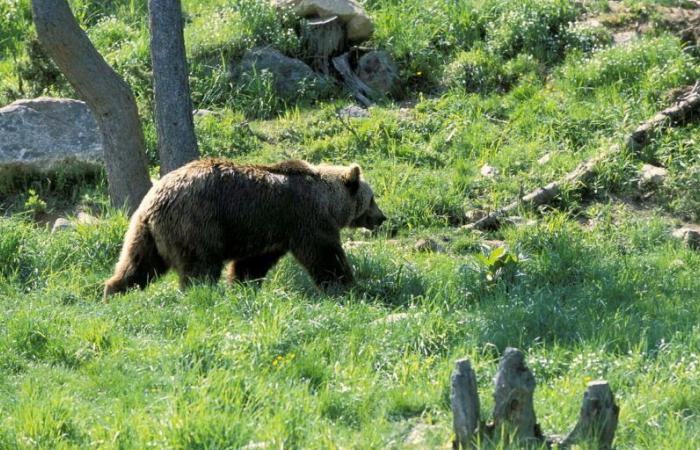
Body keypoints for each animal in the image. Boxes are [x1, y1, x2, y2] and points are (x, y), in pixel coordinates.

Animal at [103, 158, 386, 298]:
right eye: (372, 198)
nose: (382, 217)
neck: (328, 202)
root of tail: (154, 201)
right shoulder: (305, 219)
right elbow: (325, 255)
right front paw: (349, 285)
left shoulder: (273, 232)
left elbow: (253, 263)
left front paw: (242, 284)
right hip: (197, 223)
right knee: (200, 266)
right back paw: (200, 294)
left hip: (145, 233)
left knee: (138, 264)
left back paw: (114, 291)